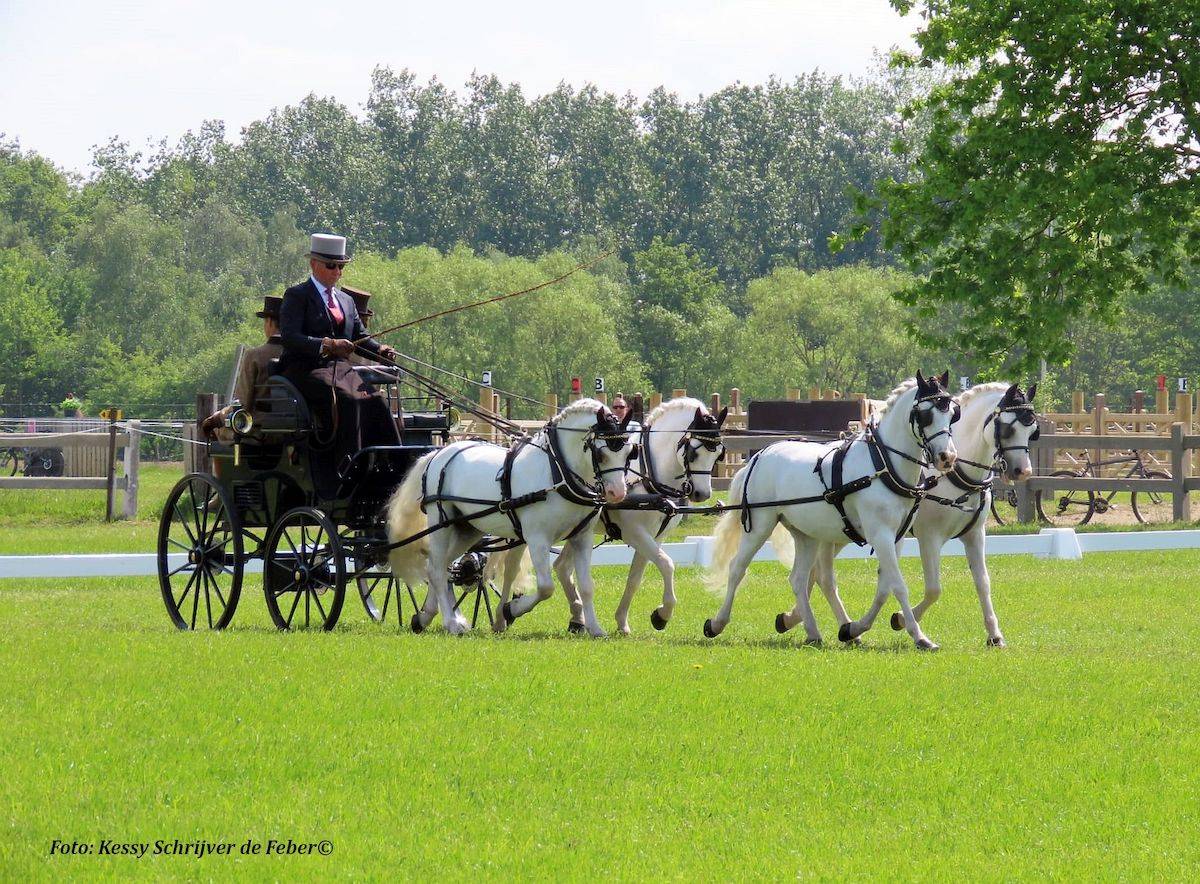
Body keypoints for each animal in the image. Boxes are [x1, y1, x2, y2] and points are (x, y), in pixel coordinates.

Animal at [386, 399, 634, 636]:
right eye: (601, 453)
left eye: (629, 451)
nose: (618, 493)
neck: (557, 471)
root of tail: (438, 453)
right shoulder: (537, 539)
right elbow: (546, 587)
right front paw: (511, 610)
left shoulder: (581, 538)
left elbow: (586, 586)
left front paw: (595, 628)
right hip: (440, 524)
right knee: (436, 570)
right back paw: (450, 622)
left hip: (467, 528)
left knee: (442, 566)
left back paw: (426, 617)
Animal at [550, 397, 728, 634]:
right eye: (693, 452)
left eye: (718, 454)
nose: (702, 494)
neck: (649, 475)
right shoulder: (634, 533)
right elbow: (667, 564)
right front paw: (662, 615)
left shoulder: (655, 537)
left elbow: (635, 579)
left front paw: (622, 621)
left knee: (561, 567)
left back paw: (578, 619)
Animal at [704, 371, 959, 650]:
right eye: (925, 415)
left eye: (952, 413)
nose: (947, 457)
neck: (882, 465)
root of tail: (759, 455)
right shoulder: (880, 534)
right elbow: (899, 586)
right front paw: (920, 636)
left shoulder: (895, 537)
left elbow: (885, 587)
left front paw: (853, 629)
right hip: (760, 525)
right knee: (737, 568)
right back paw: (717, 623)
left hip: (807, 535)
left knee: (798, 579)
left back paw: (813, 632)